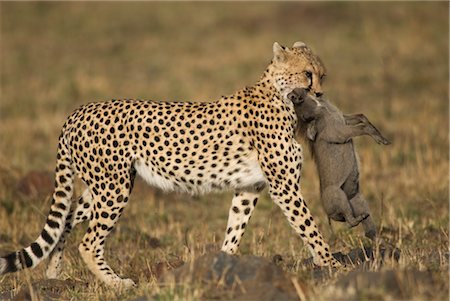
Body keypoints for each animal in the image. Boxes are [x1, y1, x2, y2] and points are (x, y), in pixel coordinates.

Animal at [0, 41, 340, 286]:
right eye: (307, 74)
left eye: (322, 75)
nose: (321, 93)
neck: (280, 96)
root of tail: (80, 110)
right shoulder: (284, 187)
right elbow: (310, 228)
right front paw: (334, 266)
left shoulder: (249, 188)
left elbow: (235, 229)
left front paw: (220, 267)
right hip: (113, 188)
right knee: (89, 241)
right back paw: (116, 283)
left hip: (102, 186)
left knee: (67, 218)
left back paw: (53, 275)